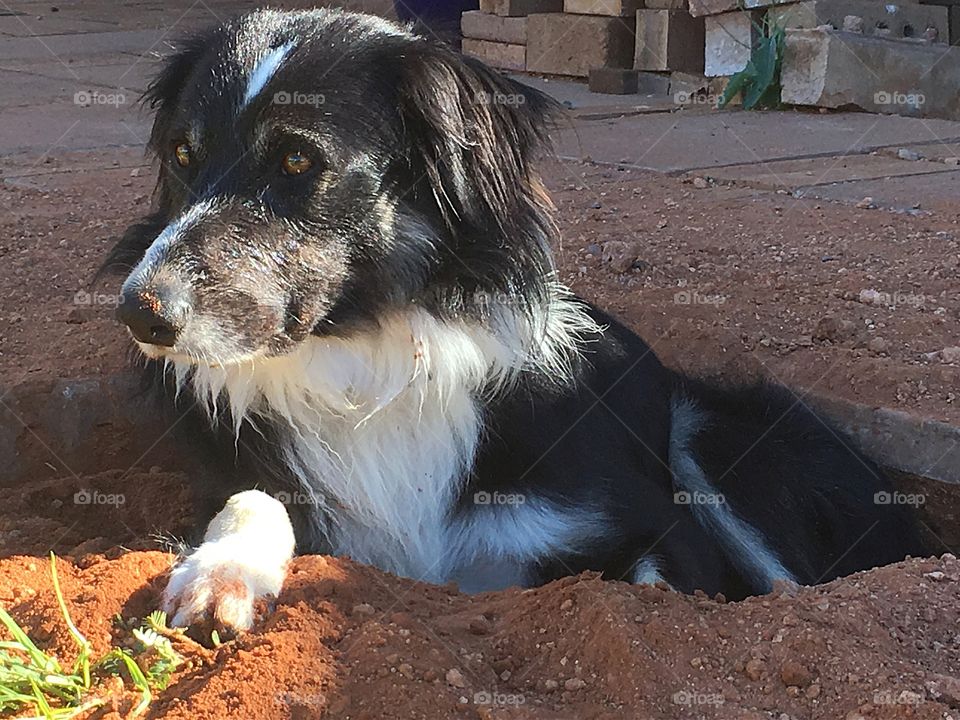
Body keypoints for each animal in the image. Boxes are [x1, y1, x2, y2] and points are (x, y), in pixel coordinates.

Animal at [103, 8, 924, 632]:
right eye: (183, 154)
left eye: (299, 163)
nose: (139, 312)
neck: (370, 365)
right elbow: (253, 497)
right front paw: (221, 576)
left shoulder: (636, 526)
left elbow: (650, 590)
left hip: (715, 433)